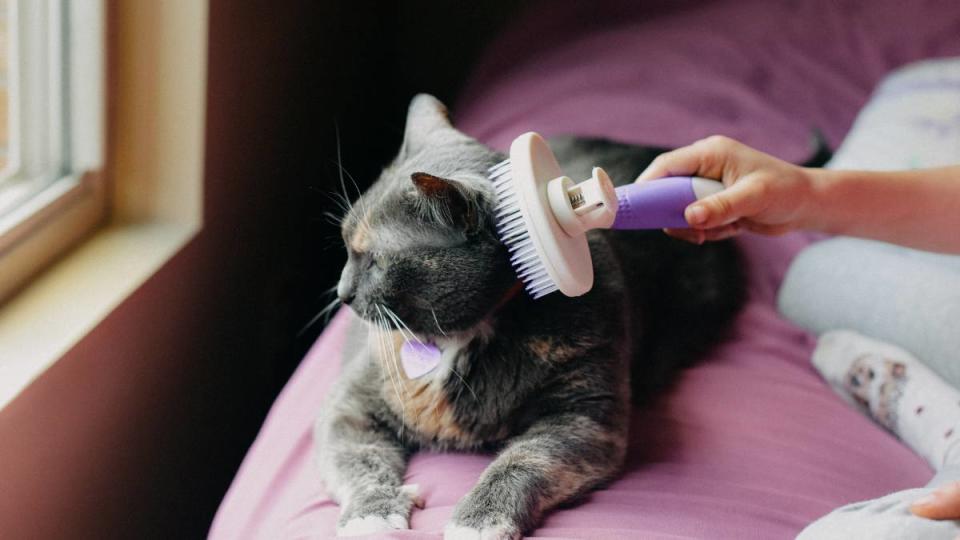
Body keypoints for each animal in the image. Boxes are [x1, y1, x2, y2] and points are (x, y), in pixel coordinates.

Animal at [312, 94, 748, 540]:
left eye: (375, 261)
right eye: (346, 247)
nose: (342, 293)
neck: (461, 338)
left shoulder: (585, 415)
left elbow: (523, 460)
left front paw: (478, 520)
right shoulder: (349, 405)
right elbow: (359, 461)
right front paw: (371, 514)